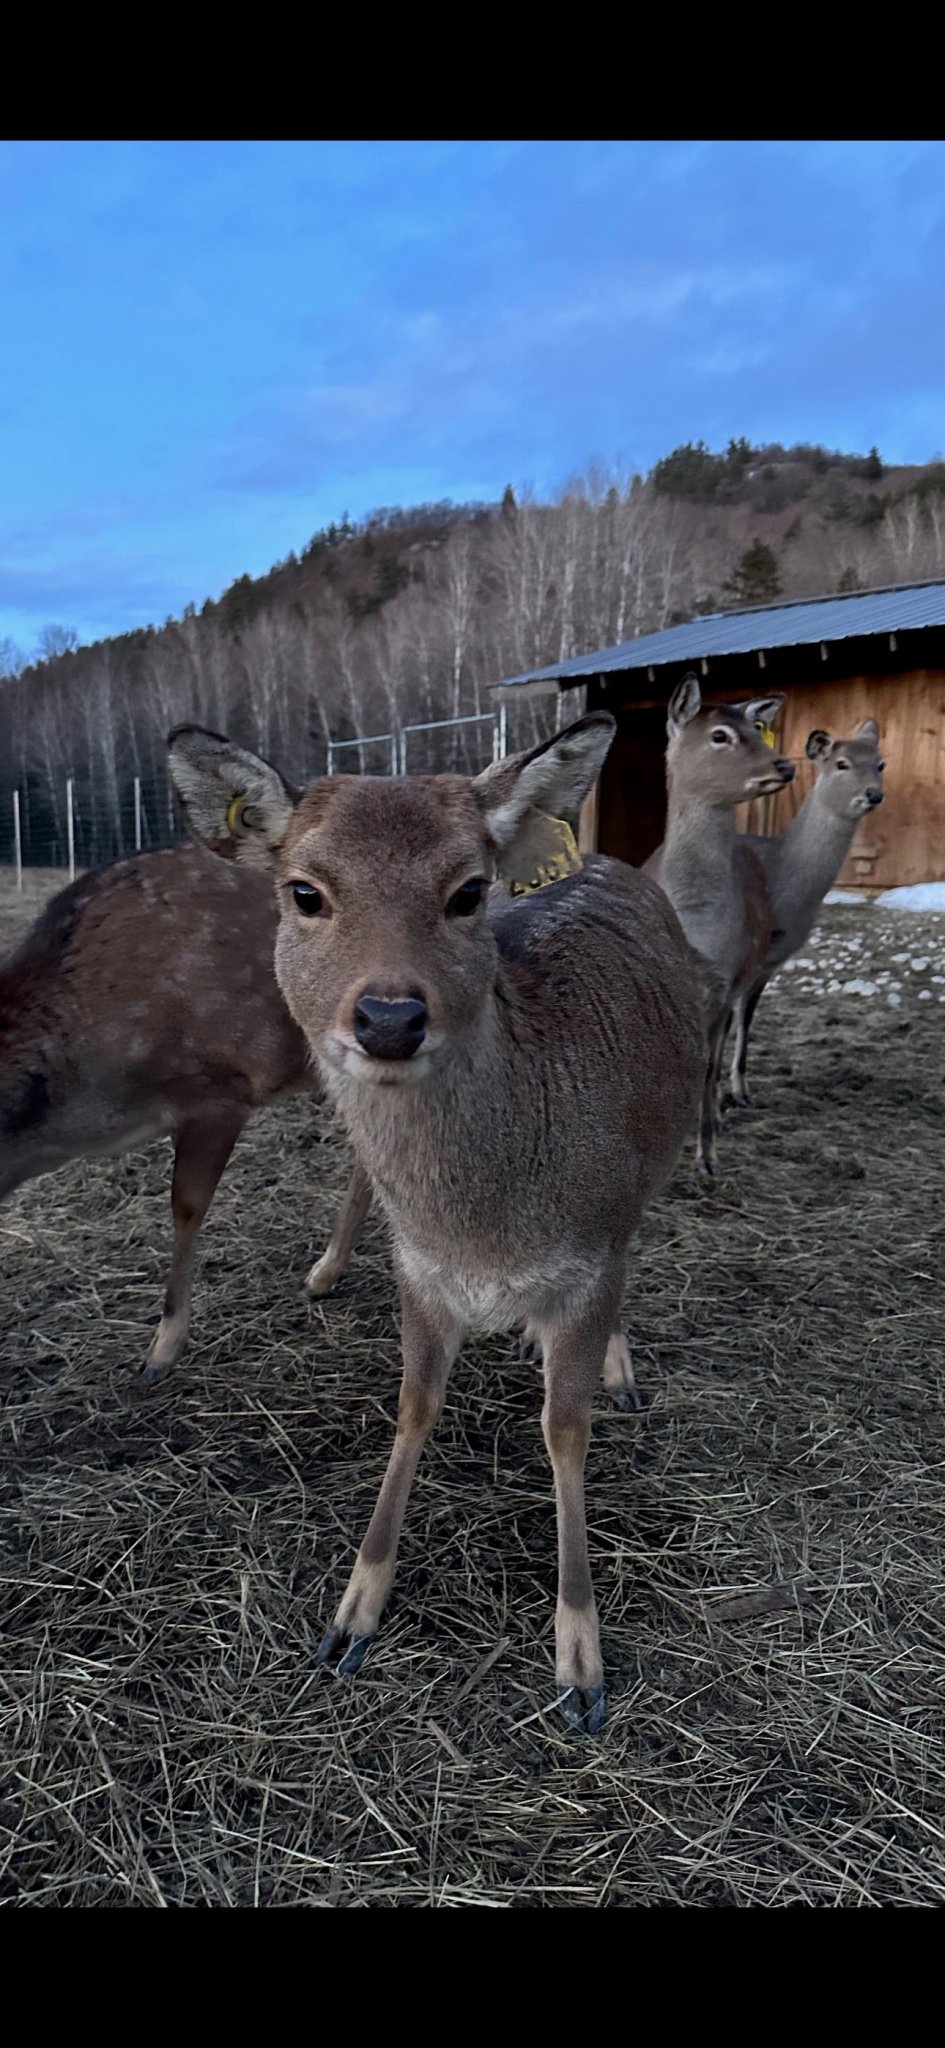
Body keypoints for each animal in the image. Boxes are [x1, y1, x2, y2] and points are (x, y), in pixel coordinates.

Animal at [168, 711, 706, 1735]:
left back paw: (622, 1368)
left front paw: (580, 1666)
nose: (387, 1017)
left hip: (651, 1173)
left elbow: (564, 1429)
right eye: (304, 891)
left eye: (468, 891)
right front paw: (350, 1616)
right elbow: (413, 1408)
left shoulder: (586, 1260)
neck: (485, 1229)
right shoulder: (416, 1267)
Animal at [644, 675, 795, 1177]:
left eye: (756, 727)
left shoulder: (724, 983)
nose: (784, 764)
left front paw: (707, 1157)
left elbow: (707, 1067)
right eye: (719, 736)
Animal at [727, 719, 885, 1107]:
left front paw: (742, 1091)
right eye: (841, 763)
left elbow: (745, 1016)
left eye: (881, 764)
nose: (874, 795)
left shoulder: (772, 960)